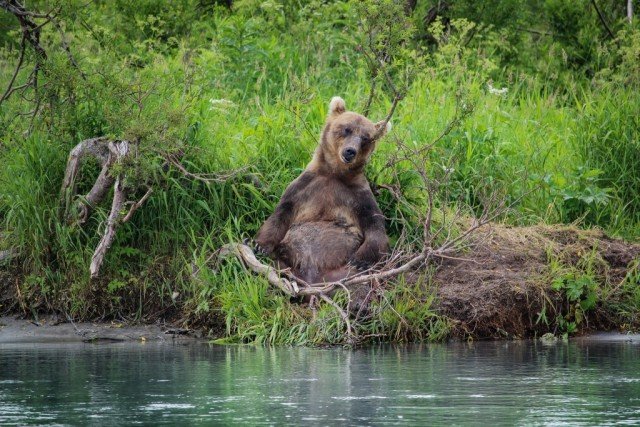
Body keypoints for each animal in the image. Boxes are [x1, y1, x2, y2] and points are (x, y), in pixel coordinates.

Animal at [255, 96, 390, 284]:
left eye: (365, 138)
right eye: (347, 129)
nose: (350, 151)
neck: (334, 173)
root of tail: (312, 276)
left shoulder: (358, 194)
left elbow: (375, 224)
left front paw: (360, 260)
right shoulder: (304, 187)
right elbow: (280, 214)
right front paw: (259, 245)